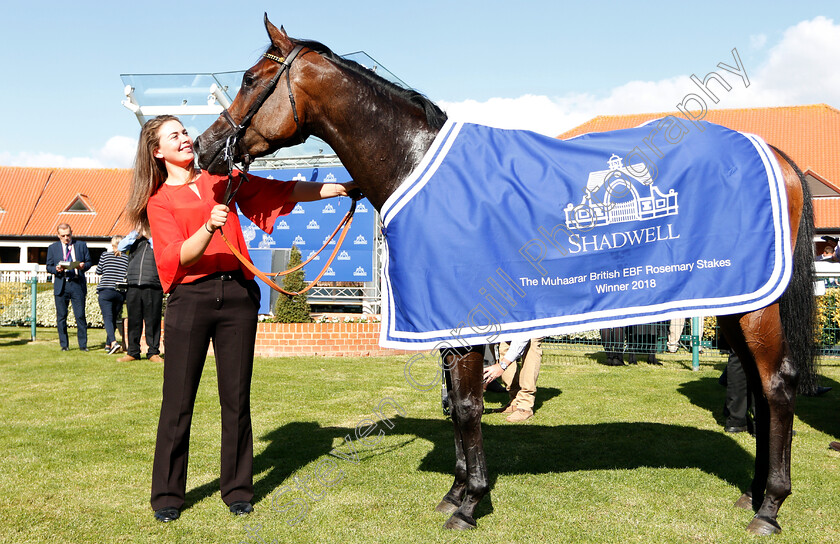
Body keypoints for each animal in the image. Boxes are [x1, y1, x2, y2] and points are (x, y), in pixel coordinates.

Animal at [195, 15, 812, 536]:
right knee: (760, 391)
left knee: (777, 386)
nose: (205, 148)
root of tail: (778, 157)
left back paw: (770, 508)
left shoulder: (464, 318)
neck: (414, 164)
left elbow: (467, 405)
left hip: (756, 306)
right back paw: (753, 493)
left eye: (251, 79)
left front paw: (469, 503)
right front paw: (455, 491)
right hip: (734, 300)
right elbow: (454, 401)